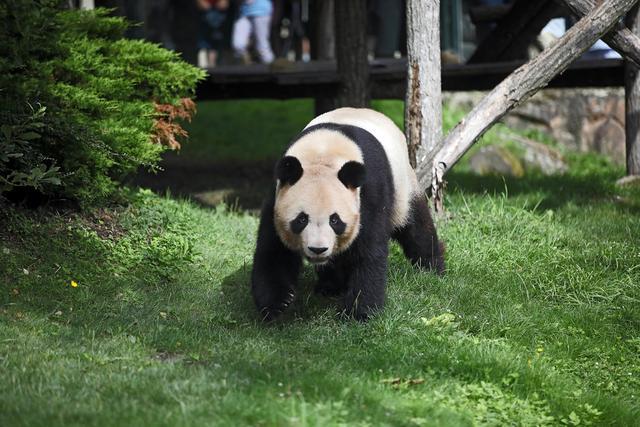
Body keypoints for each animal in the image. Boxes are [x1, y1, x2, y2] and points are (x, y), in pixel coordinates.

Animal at [250, 107, 444, 320]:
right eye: (301, 219)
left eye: (335, 220)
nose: (318, 249)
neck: (322, 153)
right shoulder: (277, 195)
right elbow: (274, 252)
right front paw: (278, 305)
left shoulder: (369, 192)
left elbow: (368, 251)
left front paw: (359, 312)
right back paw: (330, 286)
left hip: (403, 187)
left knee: (416, 227)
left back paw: (432, 268)